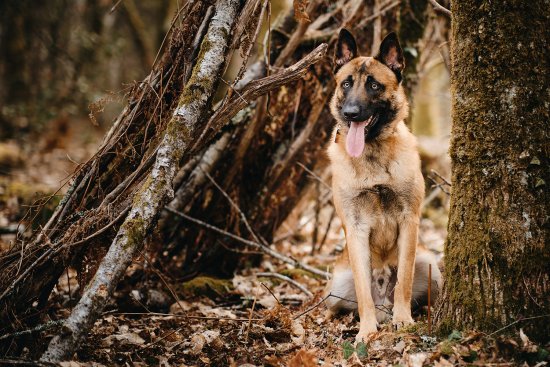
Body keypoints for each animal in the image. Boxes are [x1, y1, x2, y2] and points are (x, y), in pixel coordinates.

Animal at [326, 29, 442, 344]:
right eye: (346, 84)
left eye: (375, 85)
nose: (351, 113)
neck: (373, 155)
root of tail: (383, 304)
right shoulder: (355, 229)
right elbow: (363, 290)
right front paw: (366, 331)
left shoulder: (409, 220)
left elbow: (403, 280)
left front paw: (404, 319)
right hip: (337, 283)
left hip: (431, 266)